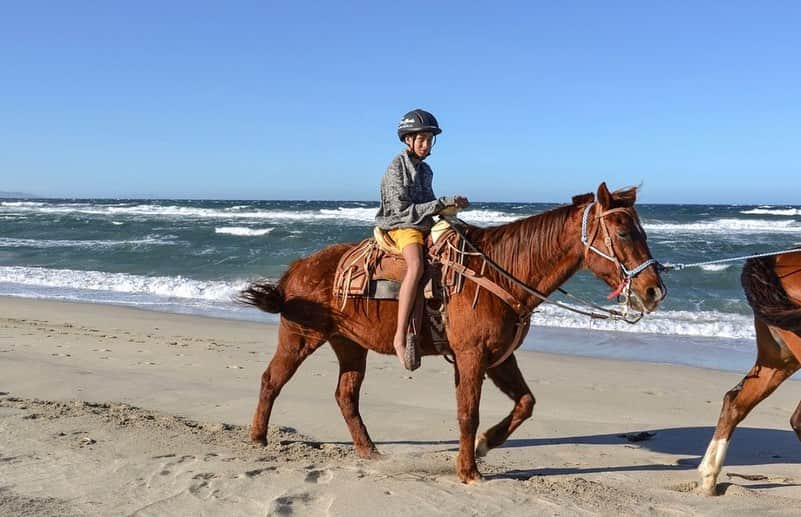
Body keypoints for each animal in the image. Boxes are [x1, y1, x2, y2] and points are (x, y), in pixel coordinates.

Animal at [241, 181, 664, 480]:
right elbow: (467, 412)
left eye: (642, 232)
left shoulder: (499, 357)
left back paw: (368, 450)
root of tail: (297, 267)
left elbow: (525, 403)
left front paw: (485, 446)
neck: (499, 274)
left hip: (349, 345)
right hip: (299, 338)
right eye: (623, 233)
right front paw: (468, 471)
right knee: (270, 380)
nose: (654, 290)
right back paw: (258, 437)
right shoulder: (471, 356)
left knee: (346, 396)